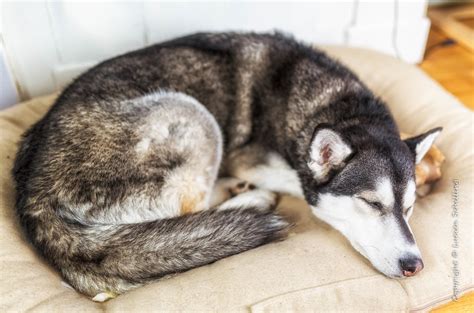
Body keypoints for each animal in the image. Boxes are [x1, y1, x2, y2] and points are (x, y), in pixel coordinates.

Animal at [12, 32, 440, 300]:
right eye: (371, 203)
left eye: (408, 209)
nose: (414, 265)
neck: (340, 108)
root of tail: (32, 199)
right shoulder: (248, 159)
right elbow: (301, 185)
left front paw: (430, 165)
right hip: (193, 117)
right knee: (186, 214)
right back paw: (250, 201)